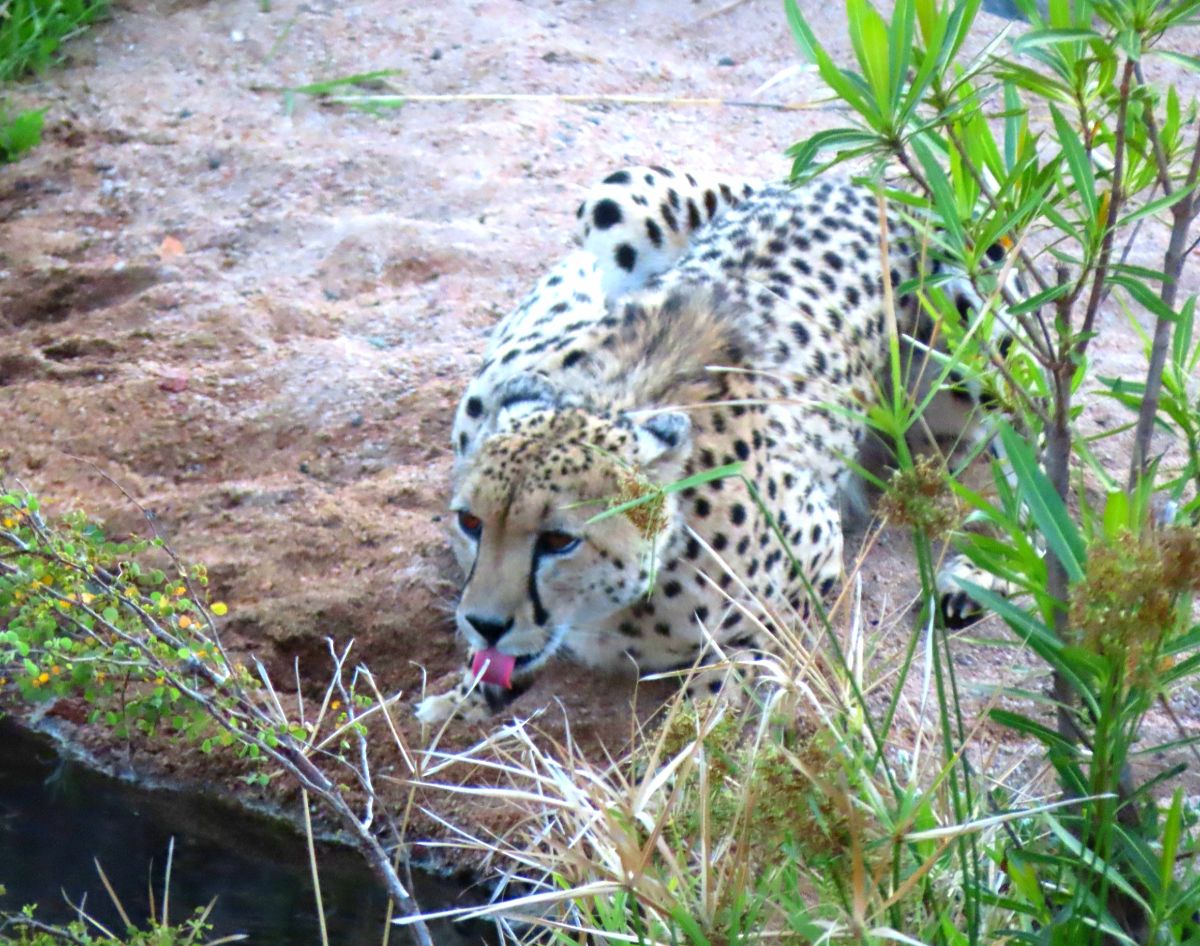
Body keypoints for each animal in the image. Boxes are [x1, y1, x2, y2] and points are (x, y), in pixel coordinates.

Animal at [417, 166, 1017, 725]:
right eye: (470, 522)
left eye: (559, 540)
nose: (486, 624)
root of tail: (862, 174)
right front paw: (459, 702)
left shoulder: (816, 550)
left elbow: (728, 673)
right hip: (614, 197)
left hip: (970, 328)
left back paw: (980, 576)